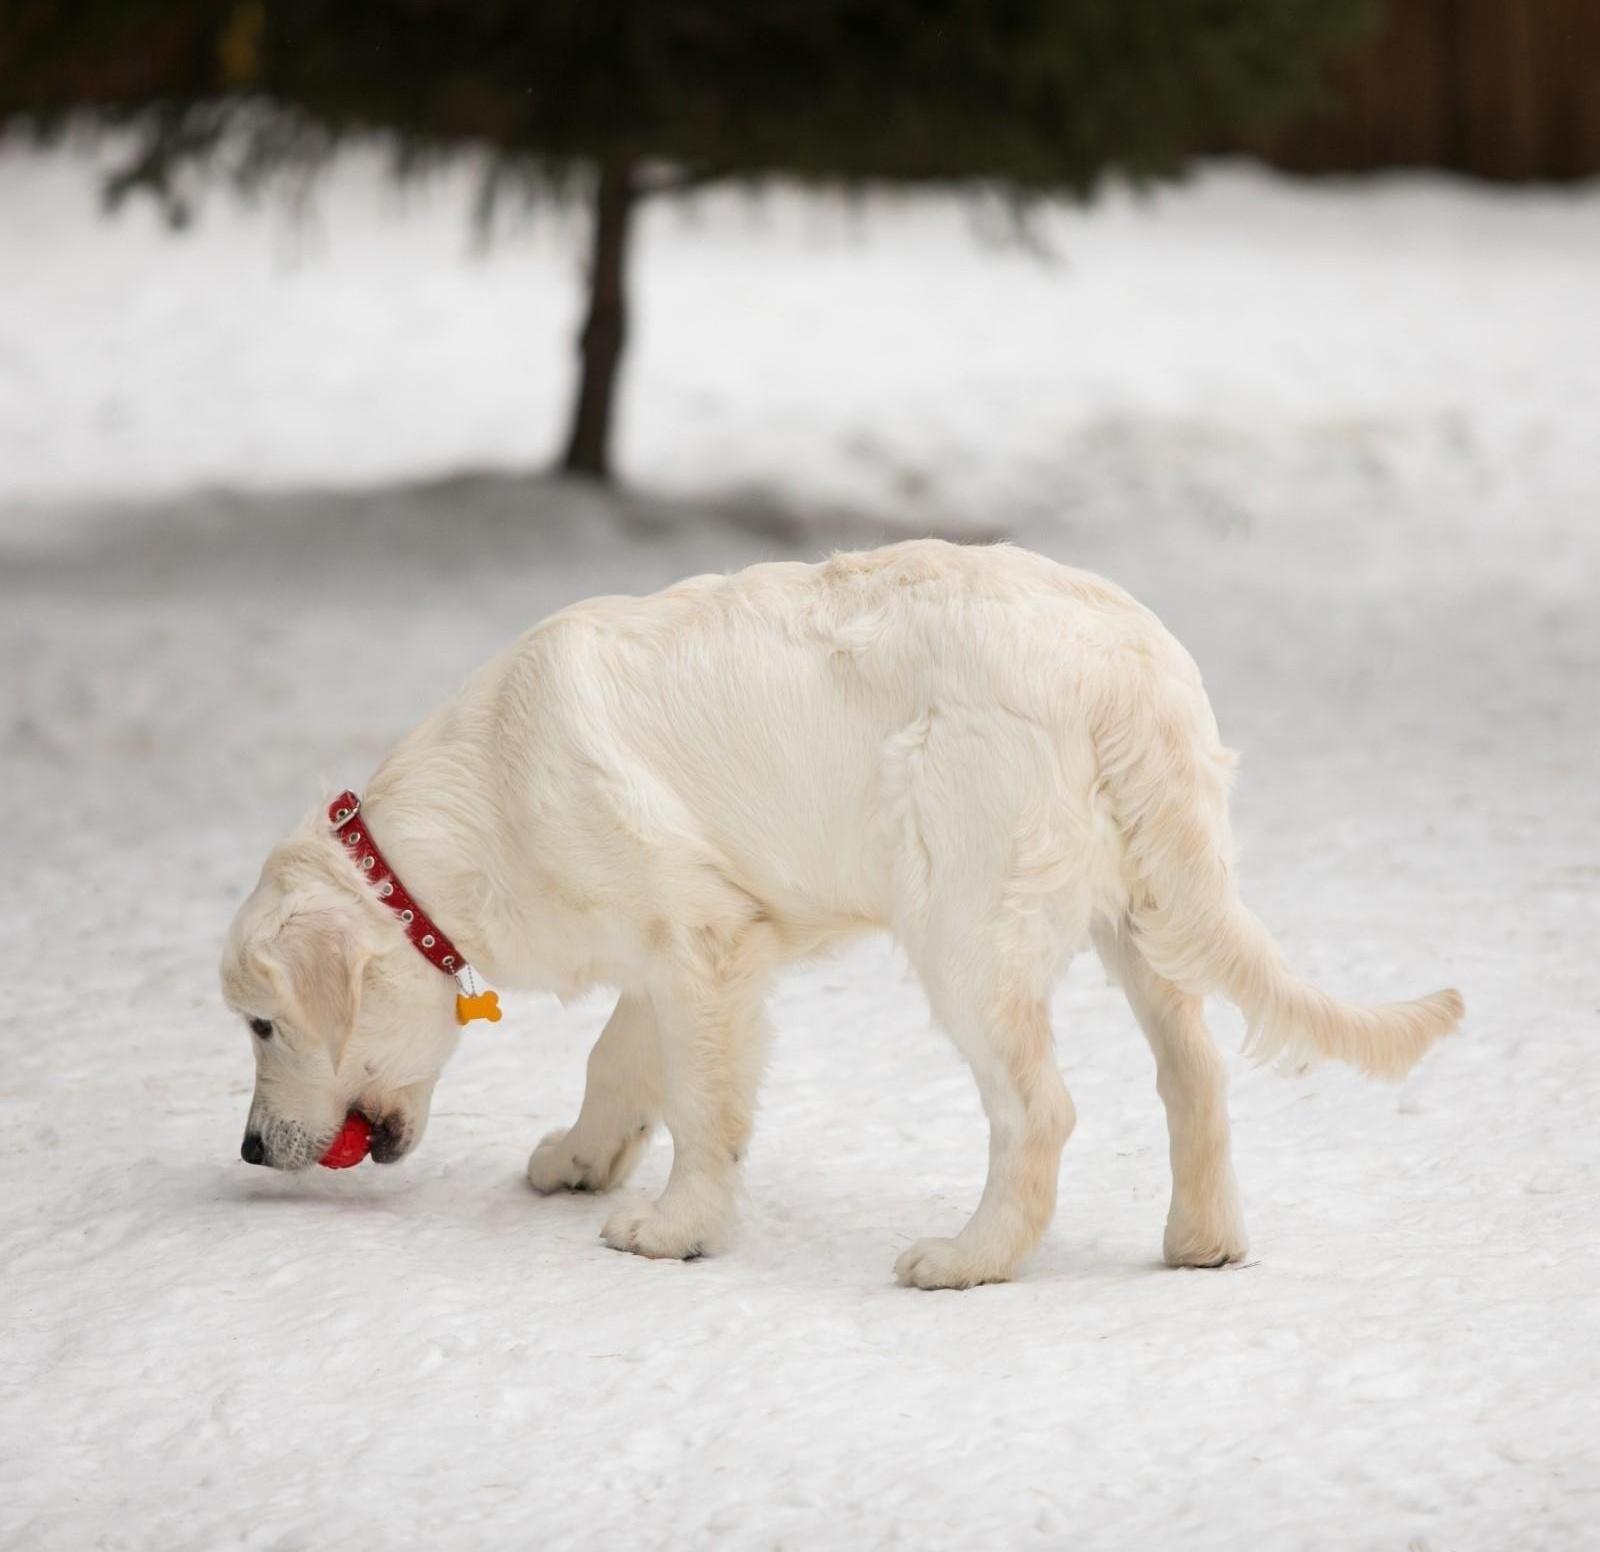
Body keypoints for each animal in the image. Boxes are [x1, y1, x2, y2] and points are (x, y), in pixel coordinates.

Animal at [222, 537, 1465, 1286]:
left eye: (260, 1024)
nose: (248, 1146)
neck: (472, 810)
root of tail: (1125, 667)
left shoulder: (703, 943)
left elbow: (701, 1105)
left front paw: (673, 1229)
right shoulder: (680, 939)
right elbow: (620, 1060)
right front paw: (582, 1157)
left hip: (965, 925)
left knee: (1040, 1109)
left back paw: (970, 1257)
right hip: (1142, 911)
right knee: (1194, 1073)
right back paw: (1201, 1242)